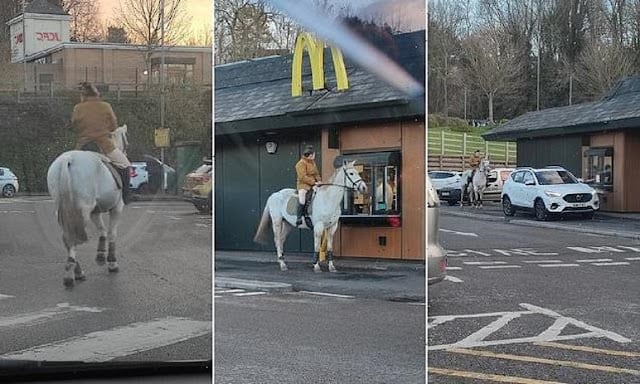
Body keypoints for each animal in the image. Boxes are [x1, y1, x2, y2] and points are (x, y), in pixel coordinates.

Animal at [46, 126, 129, 288]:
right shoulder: (117, 208)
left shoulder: (95, 212)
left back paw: (76, 271)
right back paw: (72, 274)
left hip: (63, 210)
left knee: (68, 236)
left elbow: (102, 230)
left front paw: (101, 256)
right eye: (127, 142)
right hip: (82, 210)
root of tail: (68, 158)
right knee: (73, 235)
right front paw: (112, 263)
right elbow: (111, 233)